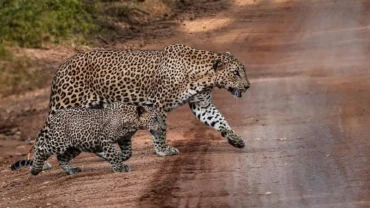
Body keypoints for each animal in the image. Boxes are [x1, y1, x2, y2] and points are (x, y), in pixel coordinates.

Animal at [47, 44, 250, 156]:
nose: (248, 86)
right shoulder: (159, 105)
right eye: (235, 72)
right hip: (66, 103)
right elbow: (161, 130)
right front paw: (163, 150)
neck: (203, 77)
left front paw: (236, 139)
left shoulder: (202, 105)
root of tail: (61, 66)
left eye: (243, 70)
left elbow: (220, 120)